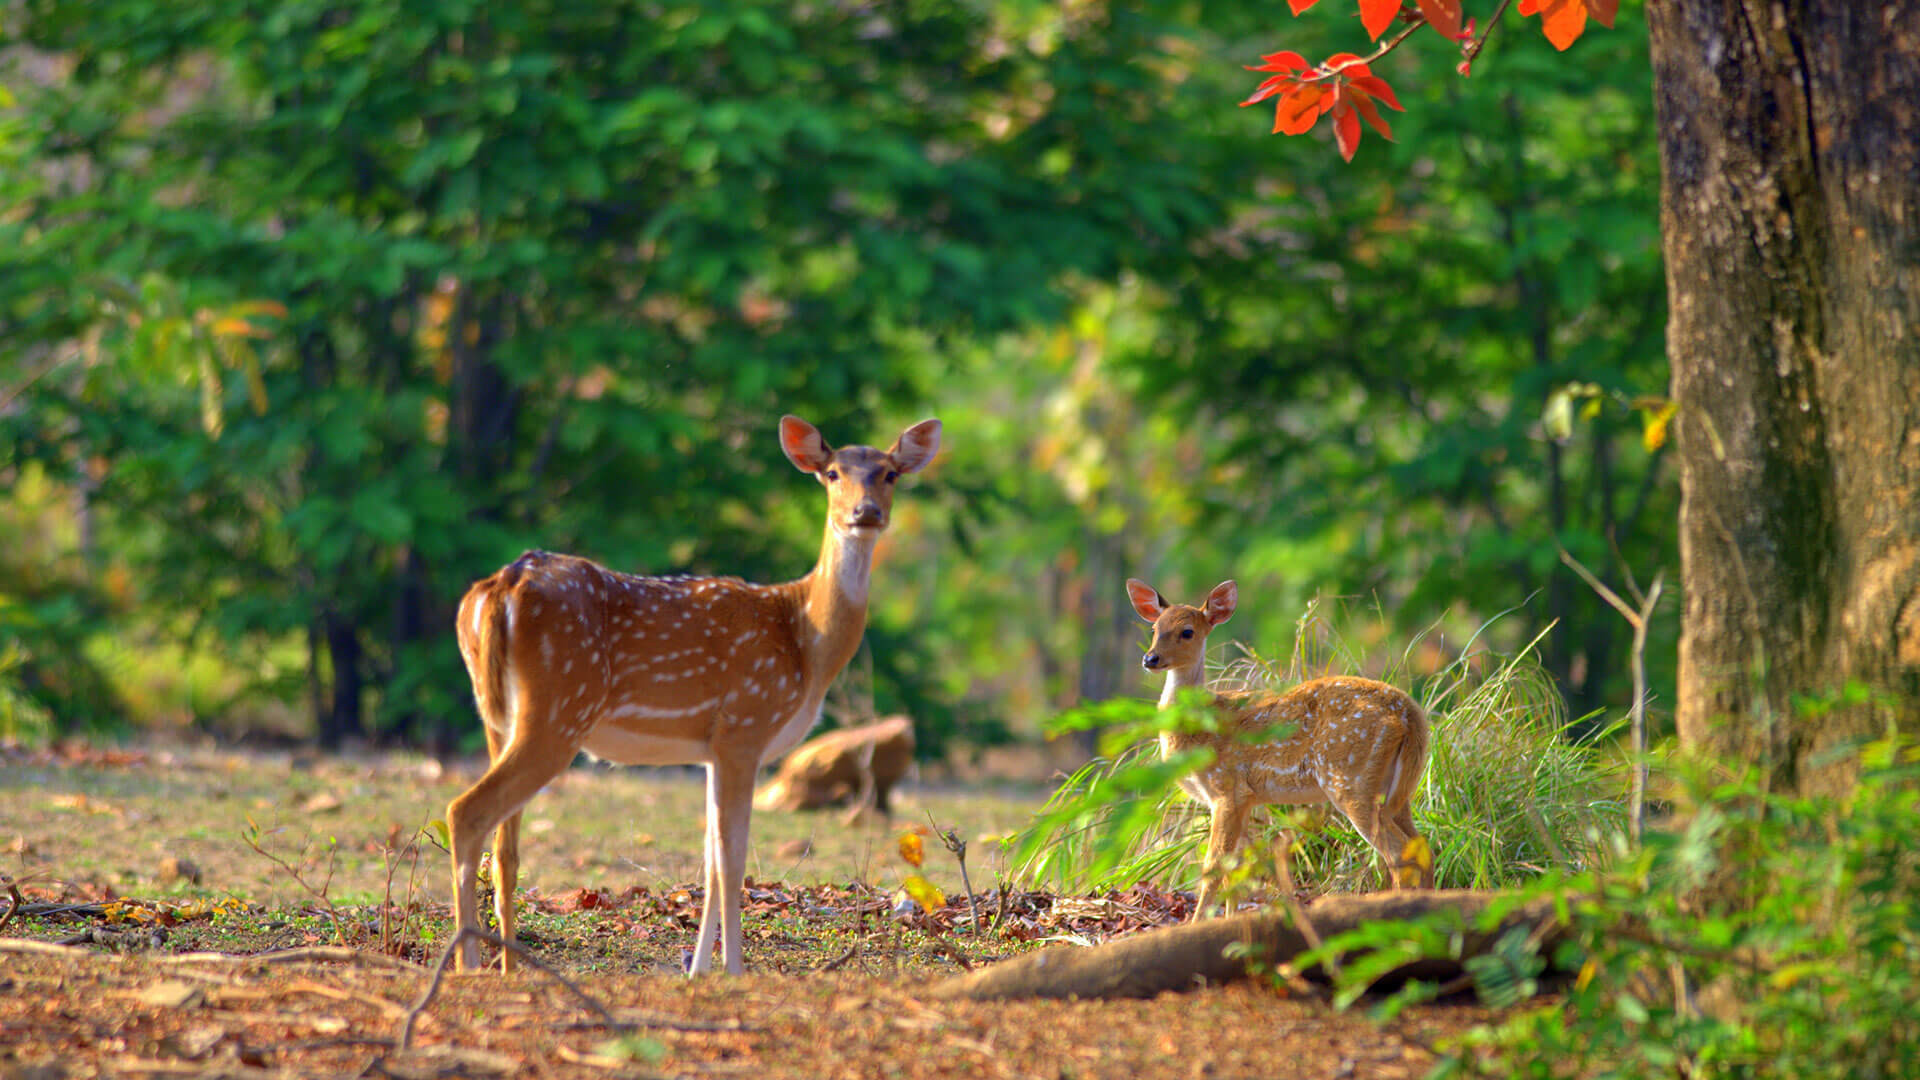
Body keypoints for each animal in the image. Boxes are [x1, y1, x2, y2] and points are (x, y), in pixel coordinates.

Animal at [441, 413, 936, 976]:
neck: (805, 640)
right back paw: (469, 963)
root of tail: (501, 586)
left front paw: (699, 969)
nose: (866, 513)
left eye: (890, 473)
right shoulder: (747, 723)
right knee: (466, 812)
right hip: (560, 707)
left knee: (504, 843)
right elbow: (733, 856)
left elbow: (711, 857)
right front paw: (735, 970)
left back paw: (507, 965)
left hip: (497, 714)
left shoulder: (712, 747)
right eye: (832, 473)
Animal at [1121, 572, 1428, 914]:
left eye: (1187, 632)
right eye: (1154, 629)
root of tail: (1409, 713)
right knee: (1421, 846)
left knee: (1399, 852)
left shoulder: (1227, 789)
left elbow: (1213, 867)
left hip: (1351, 778)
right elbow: (1235, 871)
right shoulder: (1245, 799)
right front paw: (1230, 921)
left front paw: (1200, 920)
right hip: (1396, 787)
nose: (1150, 659)